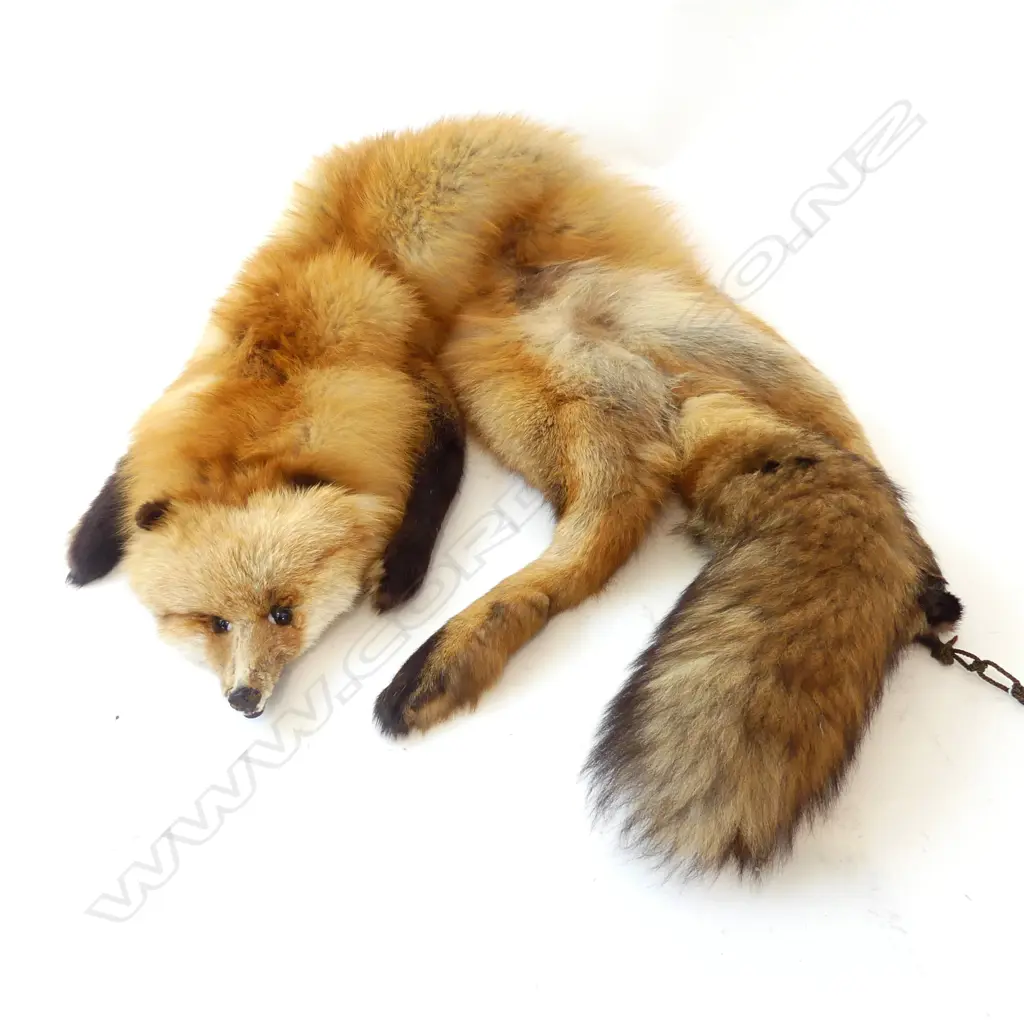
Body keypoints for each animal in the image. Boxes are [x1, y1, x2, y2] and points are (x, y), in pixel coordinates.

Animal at [68, 115, 960, 870]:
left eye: (282, 613)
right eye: (213, 624)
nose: (245, 702)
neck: (292, 334)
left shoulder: (420, 387)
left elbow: (432, 477)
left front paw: (399, 576)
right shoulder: (206, 385)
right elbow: (126, 471)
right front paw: (90, 547)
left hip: (572, 377)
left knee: (652, 504)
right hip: (561, 382)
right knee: (768, 472)